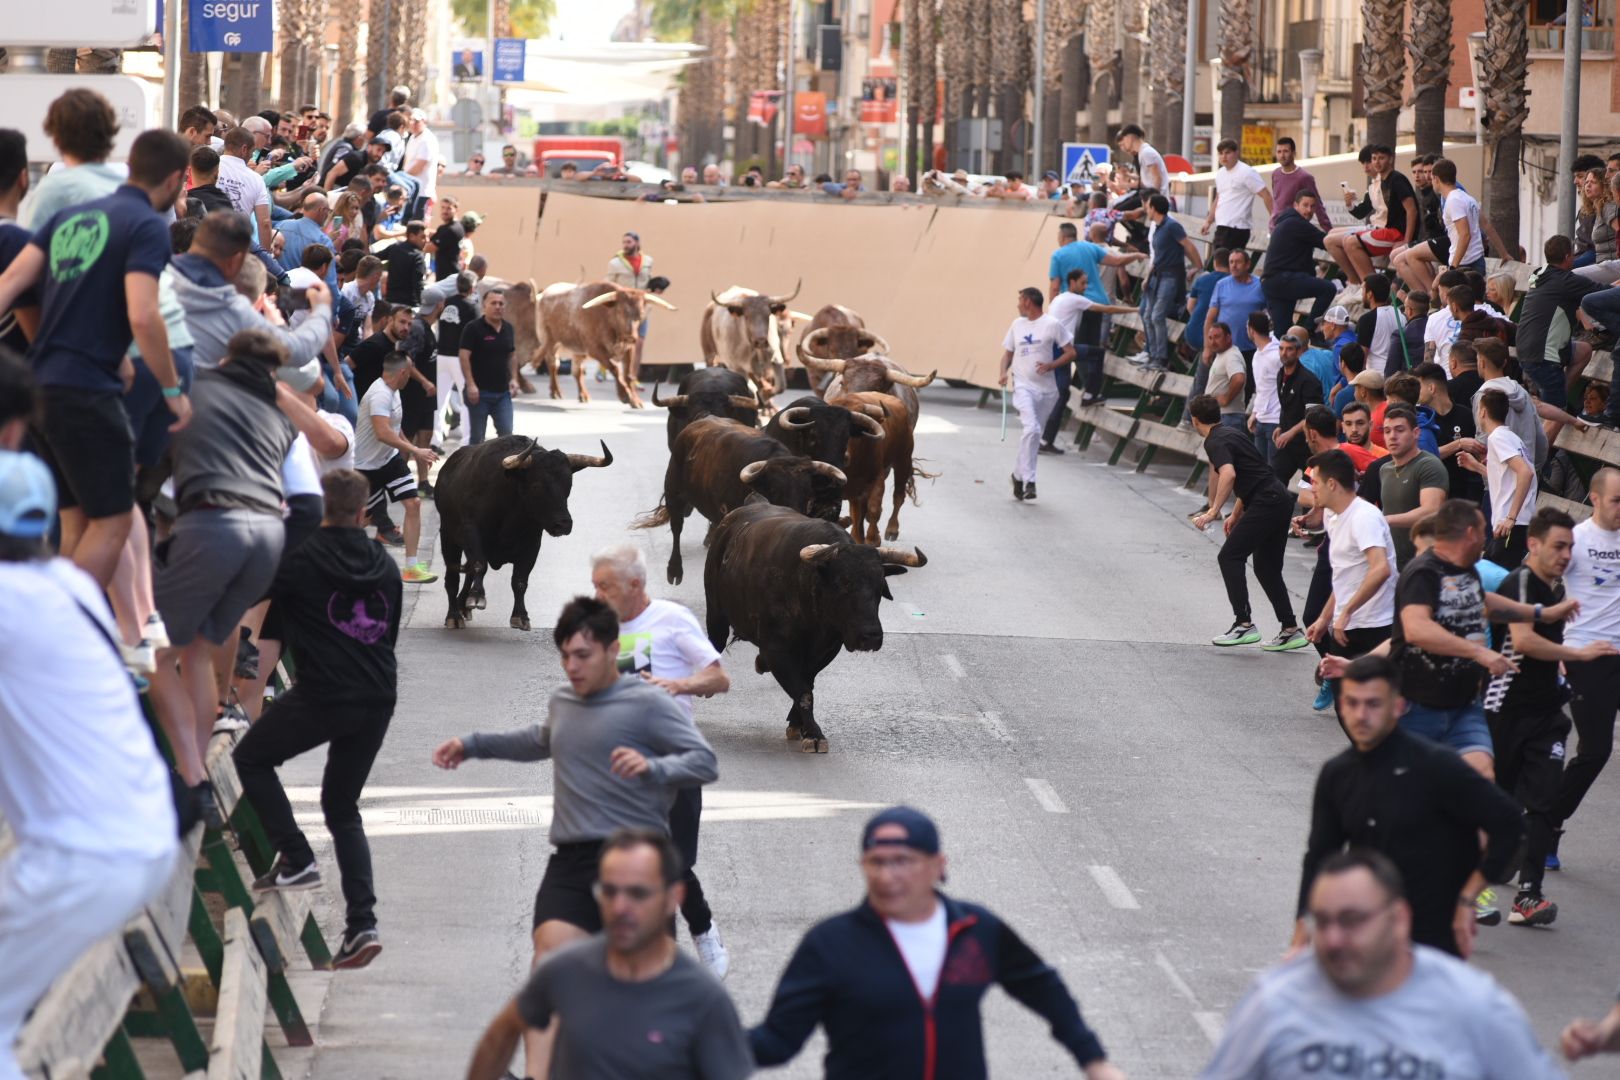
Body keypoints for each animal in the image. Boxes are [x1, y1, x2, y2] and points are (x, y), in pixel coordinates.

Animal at [437, 433, 612, 634]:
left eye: (568, 485)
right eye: (537, 485)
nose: (564, 524)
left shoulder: (532, 544)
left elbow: (519, 581)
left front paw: (521, 616)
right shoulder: (471, 532)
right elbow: (480, 565)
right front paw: (477, 597)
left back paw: (462, 605)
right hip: (448, 538)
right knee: (452, 577)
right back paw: (454, 616)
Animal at [505, 281, 670, 408]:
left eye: (641, 314)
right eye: (621, 311)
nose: (631, 337)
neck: (609, 319)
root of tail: (542, 295)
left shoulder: (629, 349)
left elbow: (628, 375)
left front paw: (635, 400)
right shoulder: (595, 349)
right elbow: (615, 369)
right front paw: (625, 396)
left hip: (578, 348)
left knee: (577, 370)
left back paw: (583, 394)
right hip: (551, 341)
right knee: (553, 365)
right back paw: (556, 391)